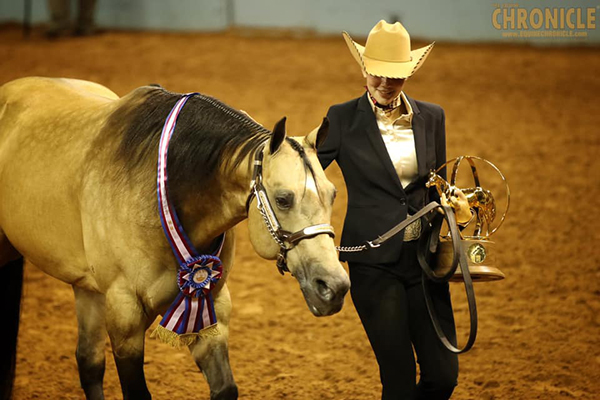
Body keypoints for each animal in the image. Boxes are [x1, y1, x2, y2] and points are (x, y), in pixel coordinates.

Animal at [0, 76, 352, 398]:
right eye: (283, 199)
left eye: (333, 194)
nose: (333, 287)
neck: (163, 189)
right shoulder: (125, 316)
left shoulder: (211, 308)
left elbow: (225, 388)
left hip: (88, 289)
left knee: (88, 363)